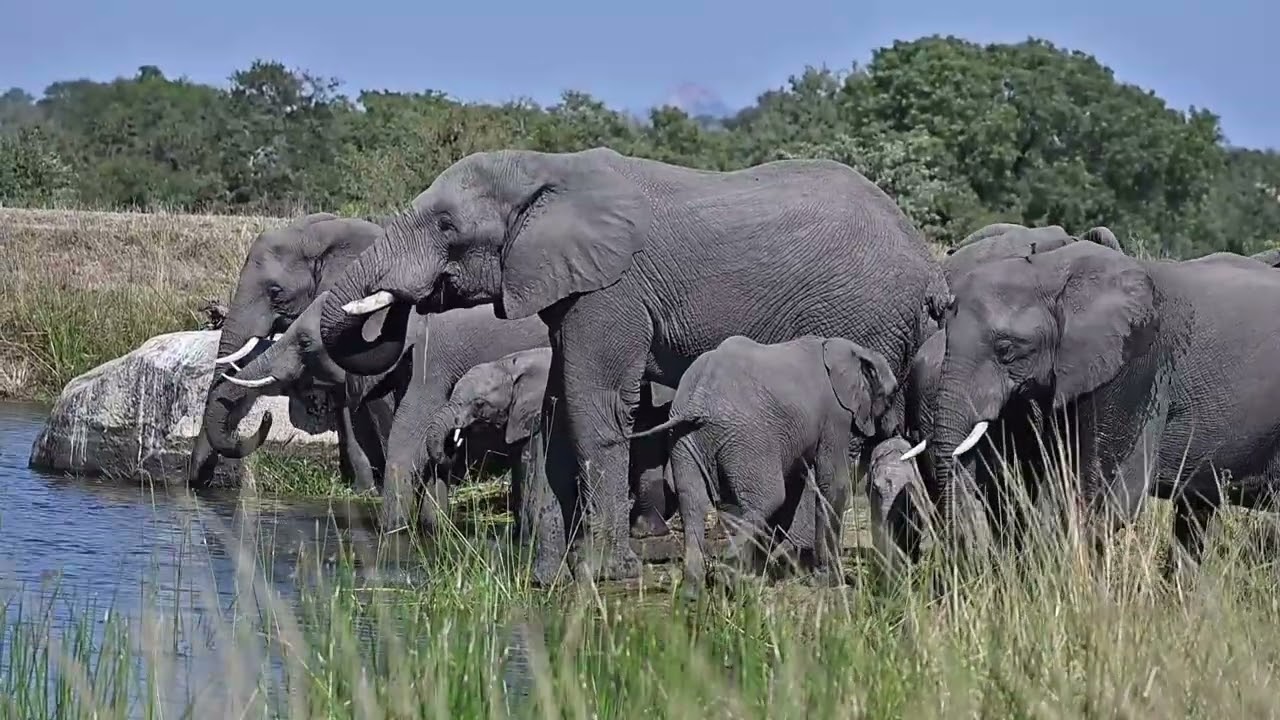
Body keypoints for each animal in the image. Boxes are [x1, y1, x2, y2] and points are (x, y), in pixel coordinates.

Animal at [625, 335, 899, 595]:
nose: (895, 430)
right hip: (747, 438)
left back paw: (695, 591)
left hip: (687, 440)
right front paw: (831, 580)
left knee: (693, 503)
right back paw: (732, 575)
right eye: (892, 395)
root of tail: (698, 400)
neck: (852, 350)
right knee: (767, 499)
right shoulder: (835, 415)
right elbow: (832, 484)